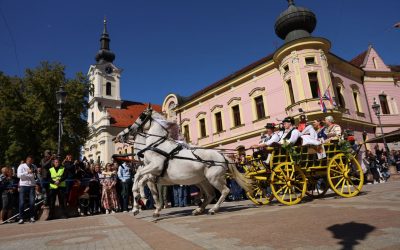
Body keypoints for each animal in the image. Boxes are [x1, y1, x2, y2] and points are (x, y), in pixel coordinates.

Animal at [119, 108, 252, 216]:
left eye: (141, 116)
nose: (122, 135)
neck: (156, 145)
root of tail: (222, 155)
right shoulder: (151, 174)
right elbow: (144, 184)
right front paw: (140, 206)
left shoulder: (155, 167)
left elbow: (140, 179)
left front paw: (141, 199)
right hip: (203, 180)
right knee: (210, 194)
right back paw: (198, 209)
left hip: (214, 178)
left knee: (224, 191)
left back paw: (212, 209)